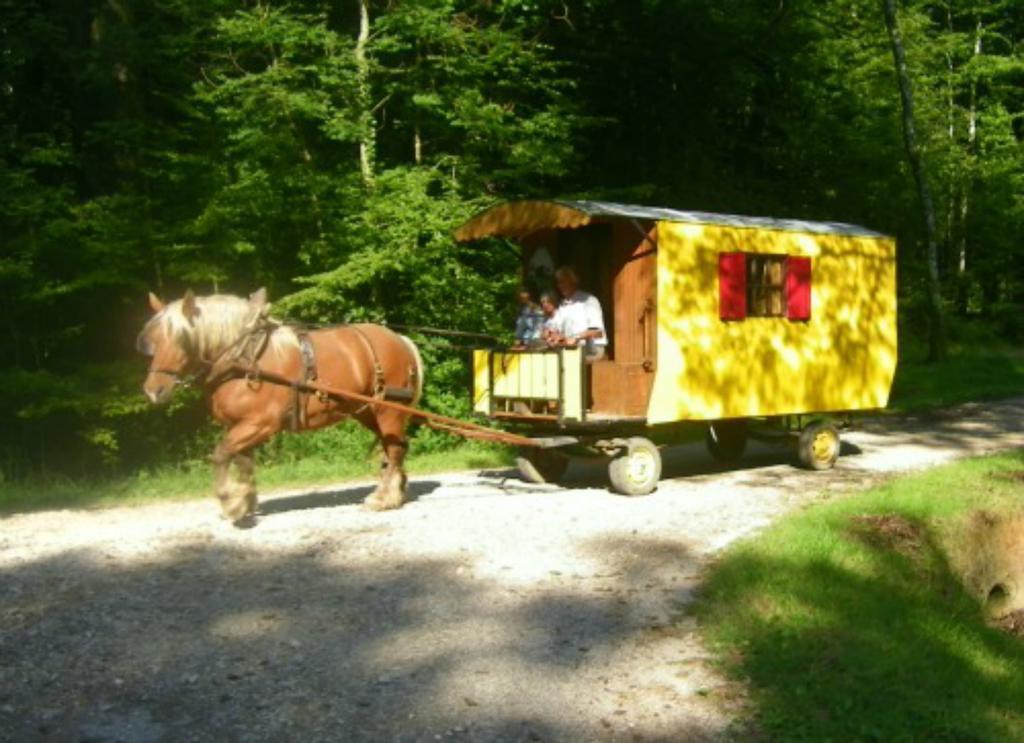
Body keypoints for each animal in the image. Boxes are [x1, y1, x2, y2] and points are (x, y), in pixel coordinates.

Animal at [136, 288, 423, 528]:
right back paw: (396, 490)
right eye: (153, 340)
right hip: (366, 411)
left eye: (182, 339)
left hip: (388, 409)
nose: (153, 390)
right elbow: (244, 462)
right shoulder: (241, 425)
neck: (243, 360)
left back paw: (384, 497)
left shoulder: (259, 424)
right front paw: (245, 501)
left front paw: (231, 502)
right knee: (395, 446)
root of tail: (400, 340)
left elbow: (221, 454)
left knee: (394, 448)